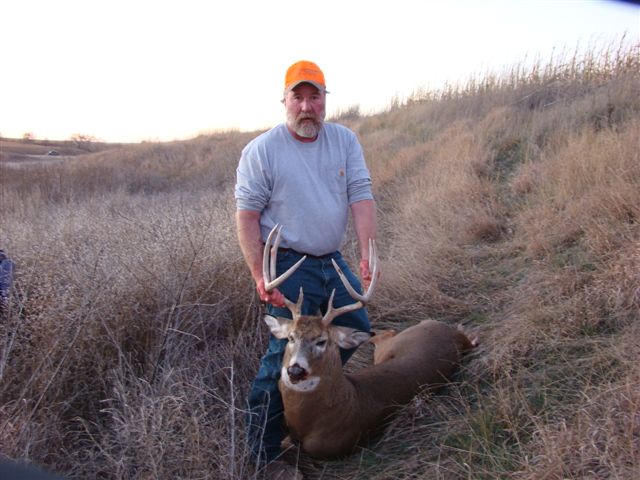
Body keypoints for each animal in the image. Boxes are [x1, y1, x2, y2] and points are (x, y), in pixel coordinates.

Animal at [261, 225, 477, 458]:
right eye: (291, 337)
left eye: (322, 341)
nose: (295, 370)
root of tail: (452, 335)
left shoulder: (328, 447)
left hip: (390, 345)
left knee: (383, 333)